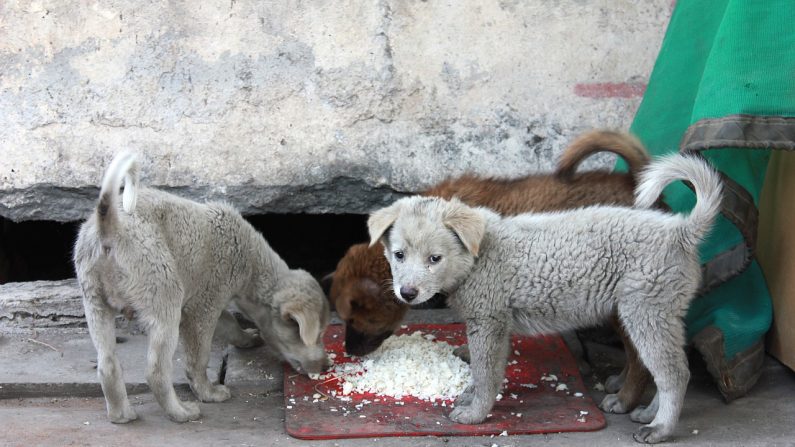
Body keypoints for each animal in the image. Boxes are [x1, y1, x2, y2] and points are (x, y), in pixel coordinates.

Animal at [76, 153, 332, 424]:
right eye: (315, 334)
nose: (327, 366)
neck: (250, 262)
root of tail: (109, 226)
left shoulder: (208, 301)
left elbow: (230, 325)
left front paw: (248, 338)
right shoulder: (203, 307)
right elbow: (198, 358)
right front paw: (209, 392)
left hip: (95, 302)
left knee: (107, 365)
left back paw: (121, 415)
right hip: (164, 294)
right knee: (156, 371)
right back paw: (181, 412)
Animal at [330, 131, 660, 414]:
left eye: (360, 319)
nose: (349, 351)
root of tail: (633, 181)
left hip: (625, 306)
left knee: (641, 358)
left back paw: (626, 398)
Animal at [370, 155, 724, 444]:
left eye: (435, 258)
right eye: (398, 255)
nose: (407, 293)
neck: (479, 255)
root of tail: (681, 231)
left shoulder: (488, 322)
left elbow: (485, 374)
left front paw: (474, 414)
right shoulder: (497, 324)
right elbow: (486, 372)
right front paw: (469, 396)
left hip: (645, 312)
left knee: (673, 373)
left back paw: (659, 428)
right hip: (664, 314)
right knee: (672, 367)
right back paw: (649, 413)